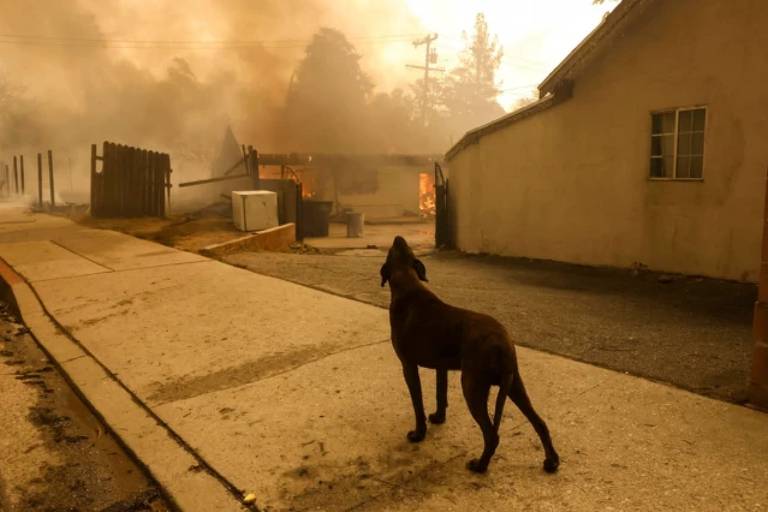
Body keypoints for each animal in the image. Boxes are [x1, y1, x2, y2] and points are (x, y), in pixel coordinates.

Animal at [382, 235, 560, 472]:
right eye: (404, 248)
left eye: (392, 250)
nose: (398, 237)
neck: (408, 283)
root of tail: (502, 344)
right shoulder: (441, 367)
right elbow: (440, 394)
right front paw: (438, 418)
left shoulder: (408, 366)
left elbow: (417, 403)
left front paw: (419, 434)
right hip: (514, 384)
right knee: (539, 422)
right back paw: (551, 460)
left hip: (472, 386)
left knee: (492, 434)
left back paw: (480, 465)